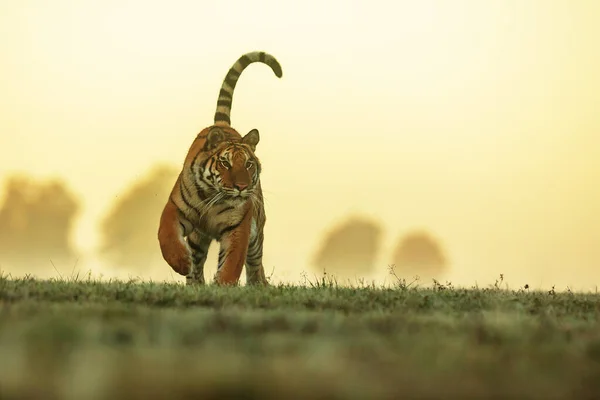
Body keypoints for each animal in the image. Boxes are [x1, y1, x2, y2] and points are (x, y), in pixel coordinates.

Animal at [158, 50, 282, 284]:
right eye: (225, 163)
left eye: (248, 164)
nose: (241, 187)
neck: (212, 197)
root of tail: (222, 125)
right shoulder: (175, 208)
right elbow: (166, 235)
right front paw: (181, 263)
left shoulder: (239, 226)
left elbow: (232, 262)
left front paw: (222, 285)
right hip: (198, 237)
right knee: (197, 260)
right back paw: (195, 282)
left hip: (256, 233)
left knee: (255, 263)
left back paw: (258, 285)